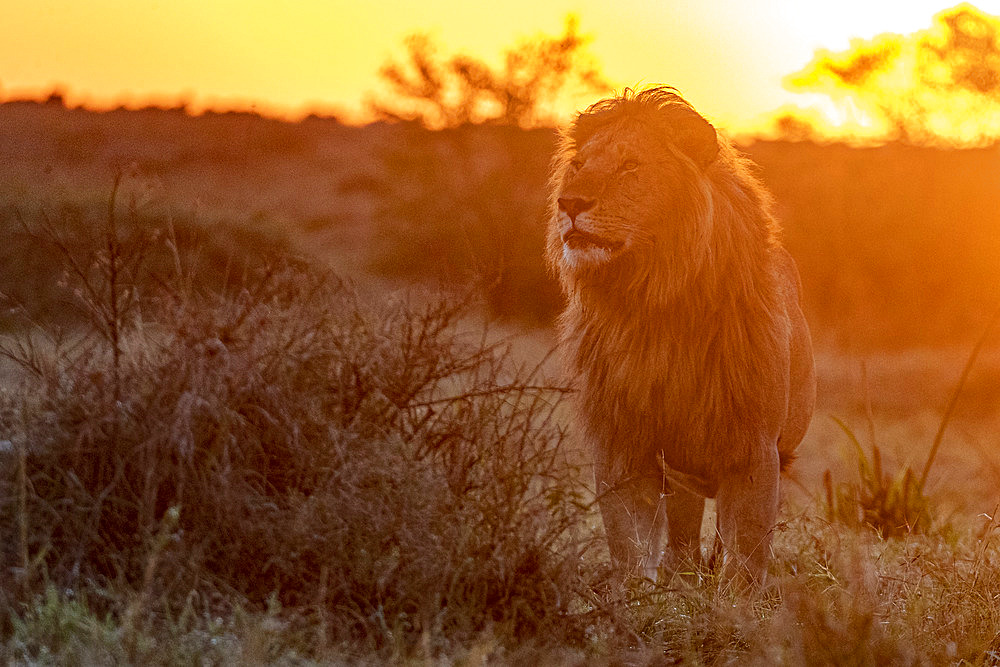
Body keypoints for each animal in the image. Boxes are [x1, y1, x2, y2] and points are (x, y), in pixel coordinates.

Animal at [552, 86, 816, 588]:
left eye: (630, 165)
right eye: (578, 166)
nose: (569, 204)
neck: (655, 302)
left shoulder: (754, 451)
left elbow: (747, 555)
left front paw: (737, 603)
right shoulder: (623, 444)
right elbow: (628, 544)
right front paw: (640, 601)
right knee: (682, 537)